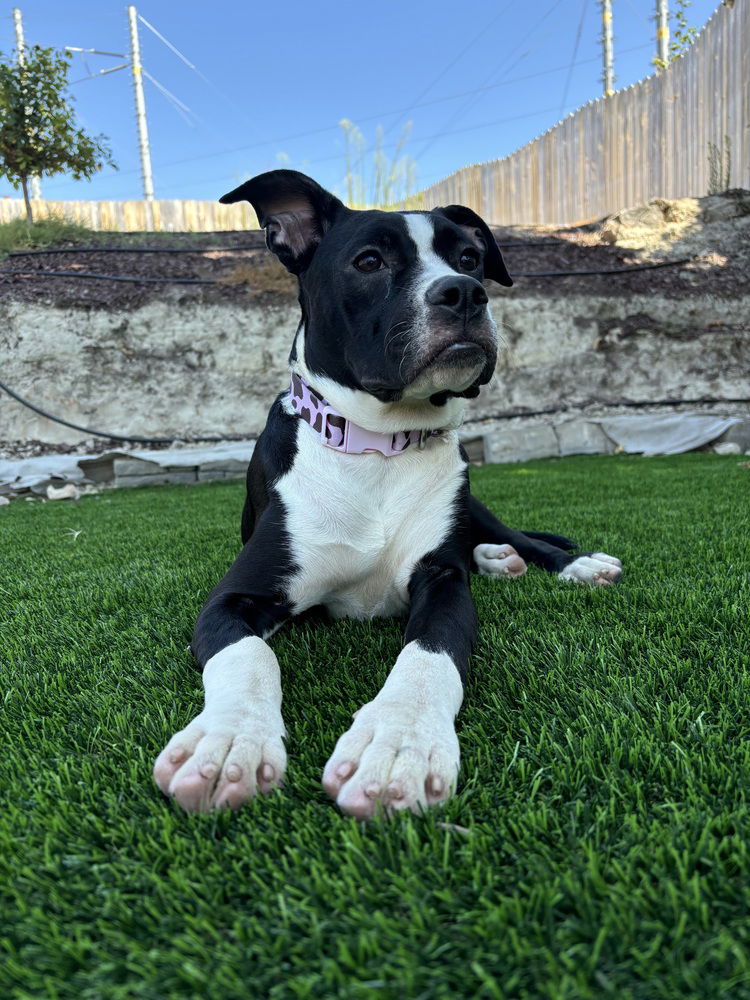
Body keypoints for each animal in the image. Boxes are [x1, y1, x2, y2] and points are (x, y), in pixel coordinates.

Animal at [151, 168, 624, 816]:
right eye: (370, 261)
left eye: (469, 258)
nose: (464, 293)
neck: (379, 447)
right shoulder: (231, 598)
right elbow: (249, 657)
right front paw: (227, 742)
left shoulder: (442, 583)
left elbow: (429, 654)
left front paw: (400, 744)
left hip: (471, 498)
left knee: (519, 538)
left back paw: (558, 562)